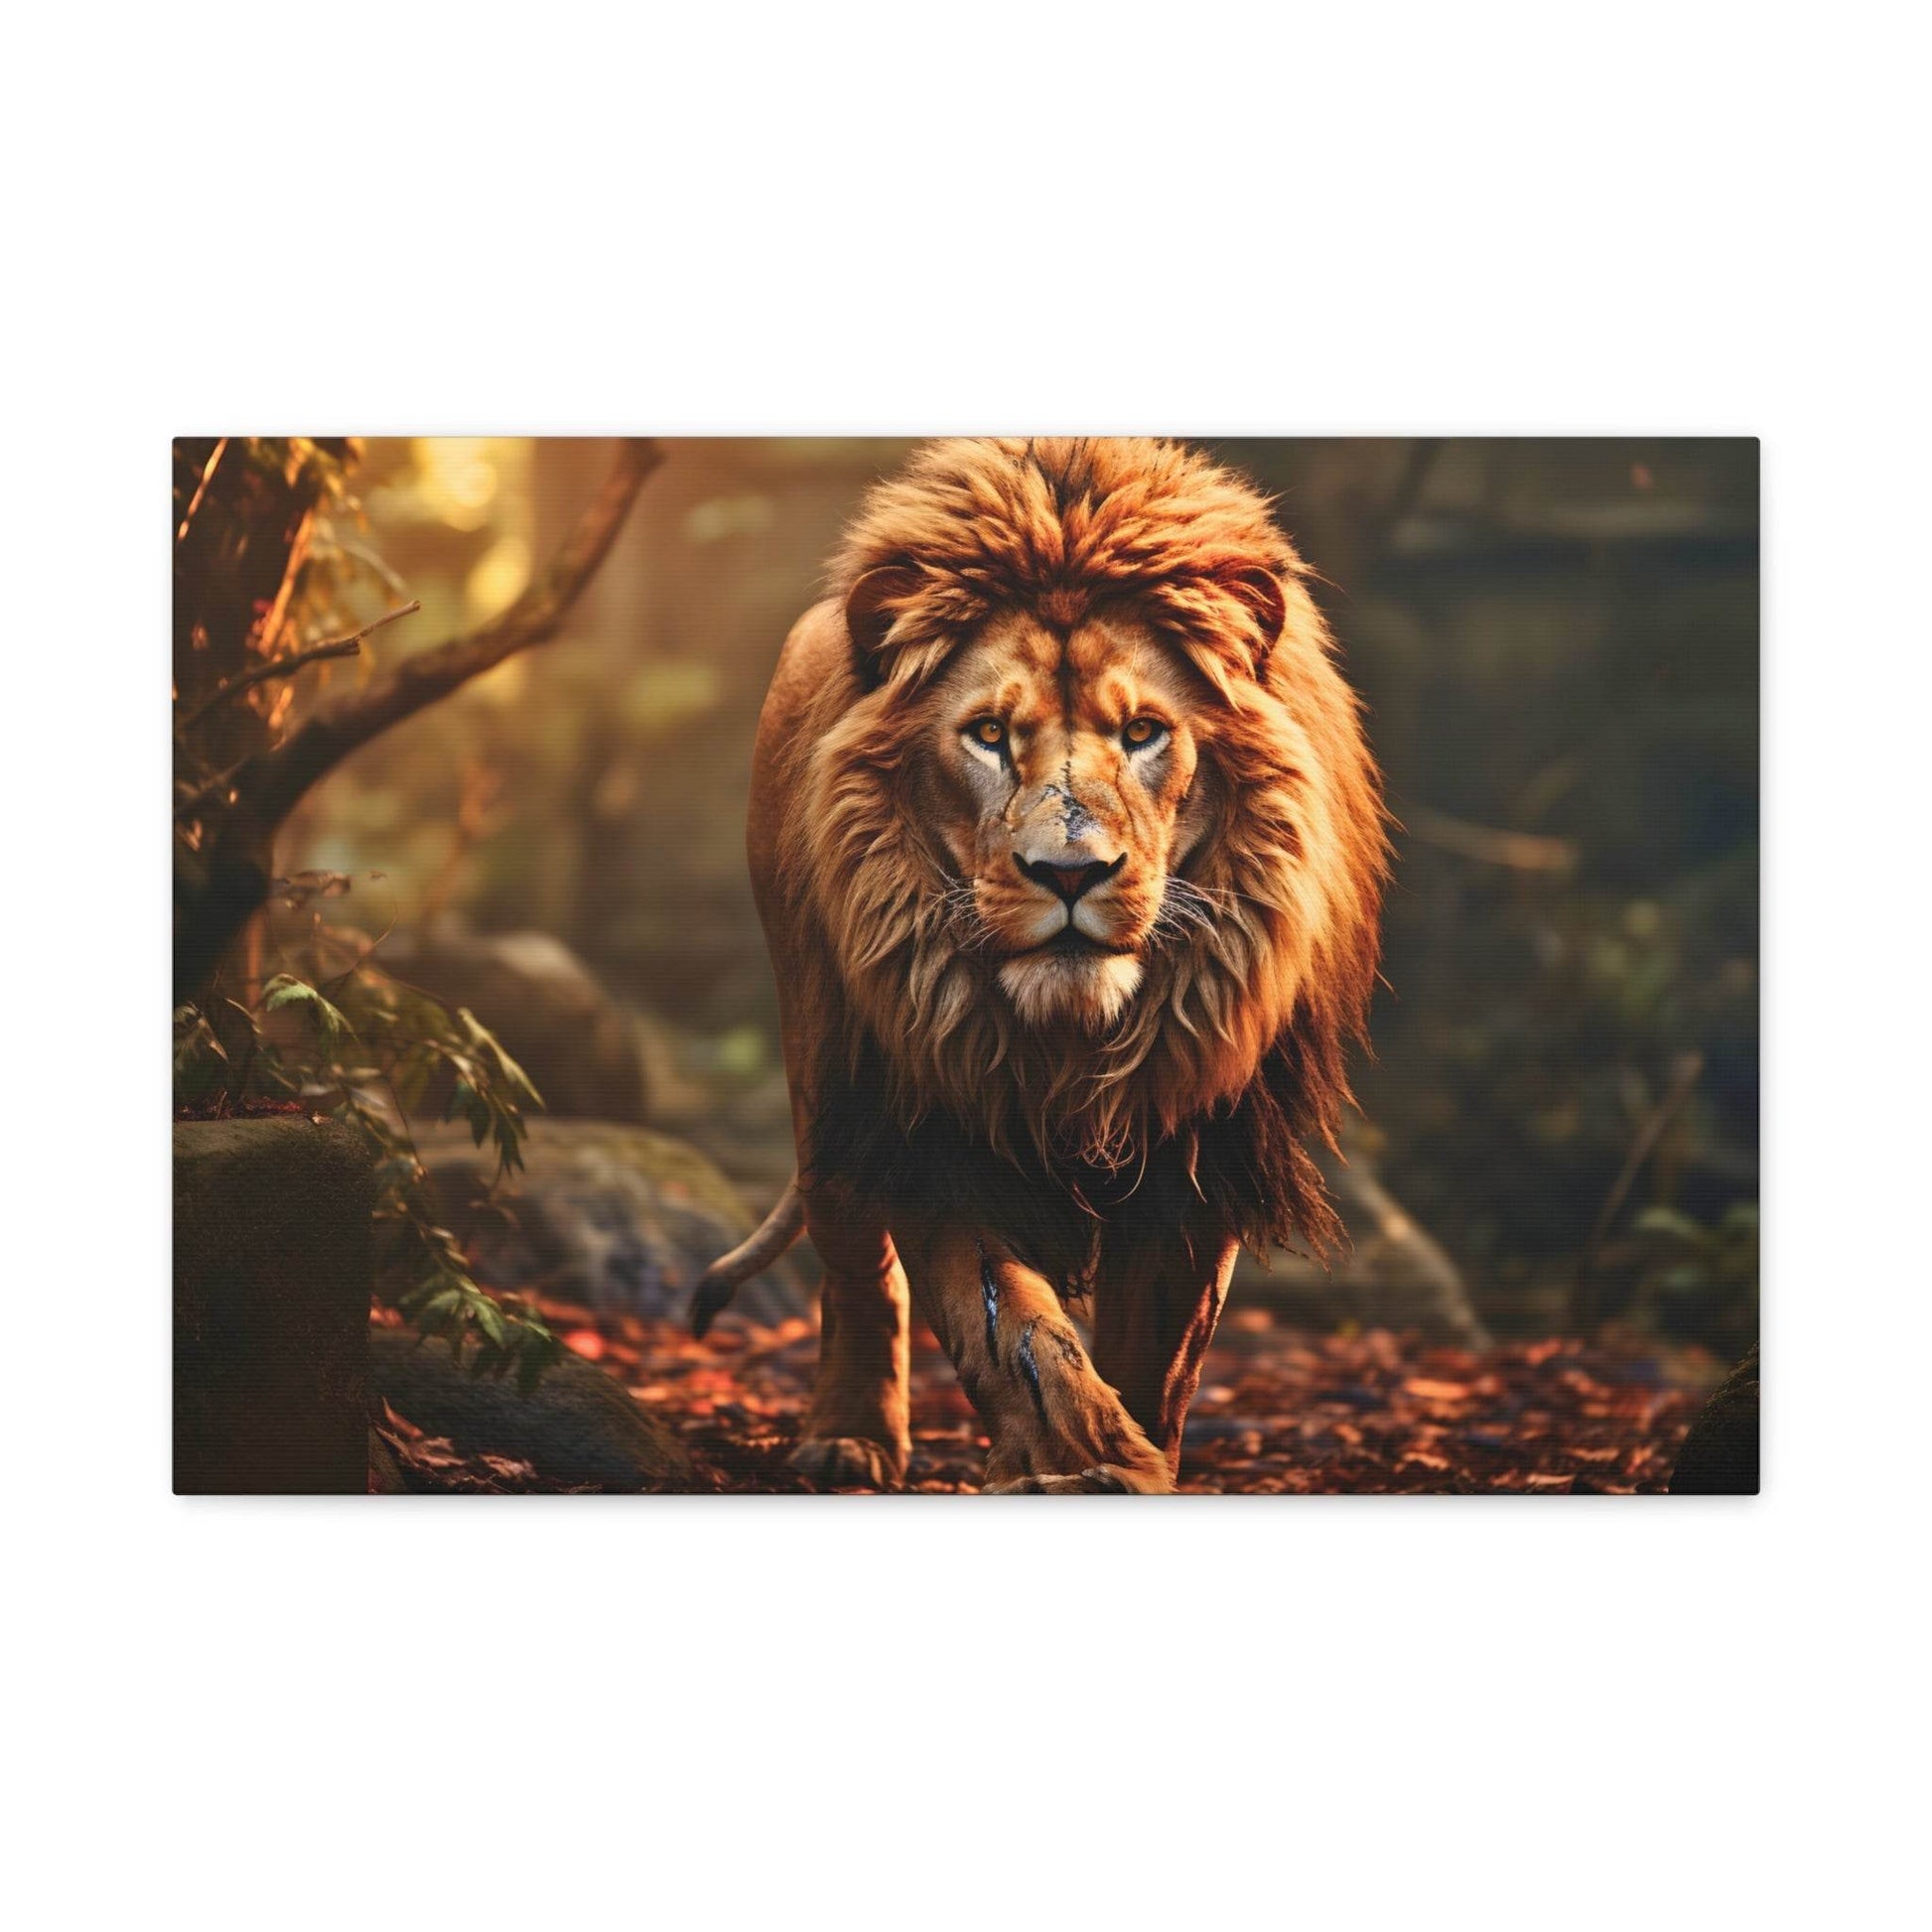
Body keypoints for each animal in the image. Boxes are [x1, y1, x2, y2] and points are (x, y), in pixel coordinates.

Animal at [692, 437, 1387, 1492]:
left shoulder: (1200, 1140)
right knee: (856, 1264)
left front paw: (1135, 1461)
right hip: (825, 1067)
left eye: (1142, 733)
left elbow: (1157, 1356)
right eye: (989, 734)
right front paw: (1078, 1457)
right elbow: (1009, 1330)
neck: (1073, 1042)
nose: (1069, 872)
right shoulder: (931, 1116)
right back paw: (848, 1439)